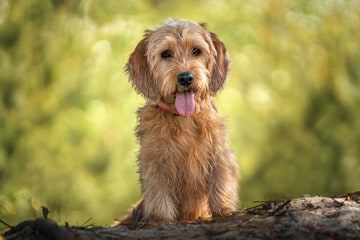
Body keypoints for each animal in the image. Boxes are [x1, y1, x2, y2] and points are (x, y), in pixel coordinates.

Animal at [118, 19, 239, 224]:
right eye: (166, 53)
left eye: (196, 50)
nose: (185, 78)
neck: (183, 119)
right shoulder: (154, 163)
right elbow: (159, 196)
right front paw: (162, 219)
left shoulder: (219, 153)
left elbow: (220, 182)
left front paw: (224, 210)